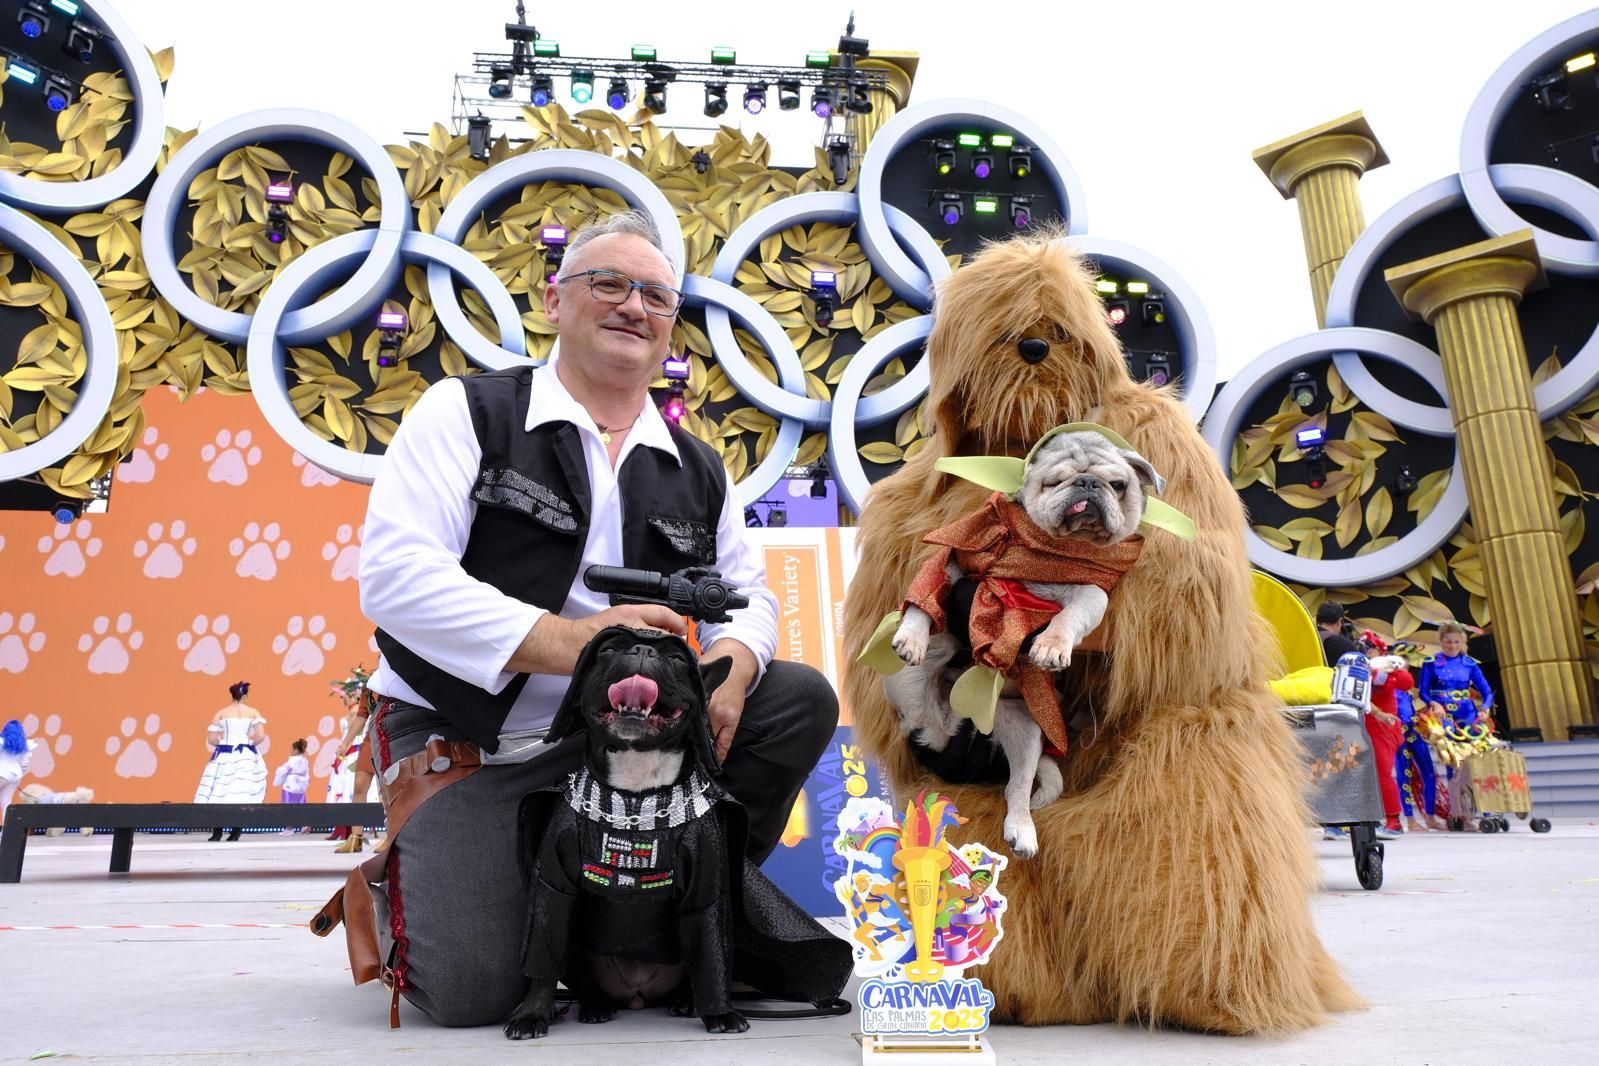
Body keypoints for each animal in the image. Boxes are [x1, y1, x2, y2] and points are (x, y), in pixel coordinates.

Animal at [502, 626, 745, 1042]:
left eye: (678, 659)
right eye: (610, 650)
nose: (644, 649)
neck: (635, 797)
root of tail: (637, 995)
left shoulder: (706, 892)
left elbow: (710, 954)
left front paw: (721, 1013)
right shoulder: (554, 888)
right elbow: (543, 958)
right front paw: (531, 1013)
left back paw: (685, 1001)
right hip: (578, 950)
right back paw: (595, 1006)